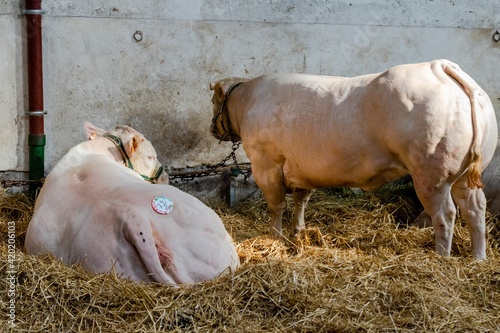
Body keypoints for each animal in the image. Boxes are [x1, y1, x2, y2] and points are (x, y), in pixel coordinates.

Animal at [210, 59, 496, 260]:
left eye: (213, 101)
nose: (212, 129)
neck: (249, 100)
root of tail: (439, 66)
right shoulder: (301, 168)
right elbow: (301, 201)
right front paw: (297, 233)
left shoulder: (266, 165)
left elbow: (276, 205)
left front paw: (275, 236)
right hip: (463, 177)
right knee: (474, 208)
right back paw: (478, 258)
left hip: (431, 176)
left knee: (446, 215)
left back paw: (441, 258)